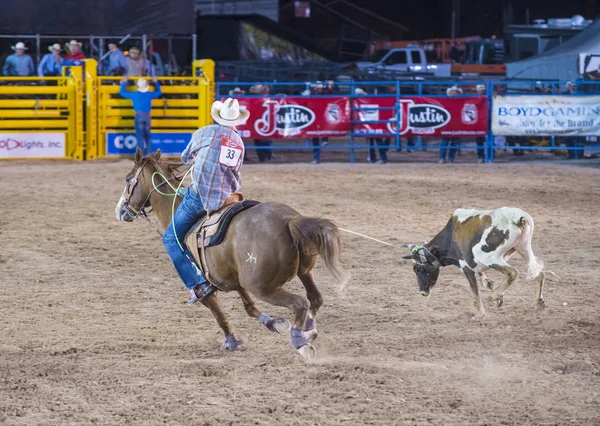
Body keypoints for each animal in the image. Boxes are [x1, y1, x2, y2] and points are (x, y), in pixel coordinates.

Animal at [115, 148, 350, 358]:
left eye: (128, 180)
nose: (120, 210)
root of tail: (289, 220)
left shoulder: (204, 287)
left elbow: (217, 311)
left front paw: (232, 341)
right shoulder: (232, 279)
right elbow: (249, 306)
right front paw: (273, 323)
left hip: (262, 286)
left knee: (300, 303)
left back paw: (300, 340)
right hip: (304, 272)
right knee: (315, 298)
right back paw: (308, 331)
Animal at [406, 206, 548, 320]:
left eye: (418, 269)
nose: (423, 292)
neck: (451, 236)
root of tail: (519, 218)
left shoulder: (465, 266)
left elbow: (474, 289)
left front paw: (480, 313)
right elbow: (483, 277)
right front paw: (494, 291)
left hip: (490, 258)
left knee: (513, 272)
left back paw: (494, 295)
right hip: (523, 248)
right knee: (539, 273)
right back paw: (538, 301)